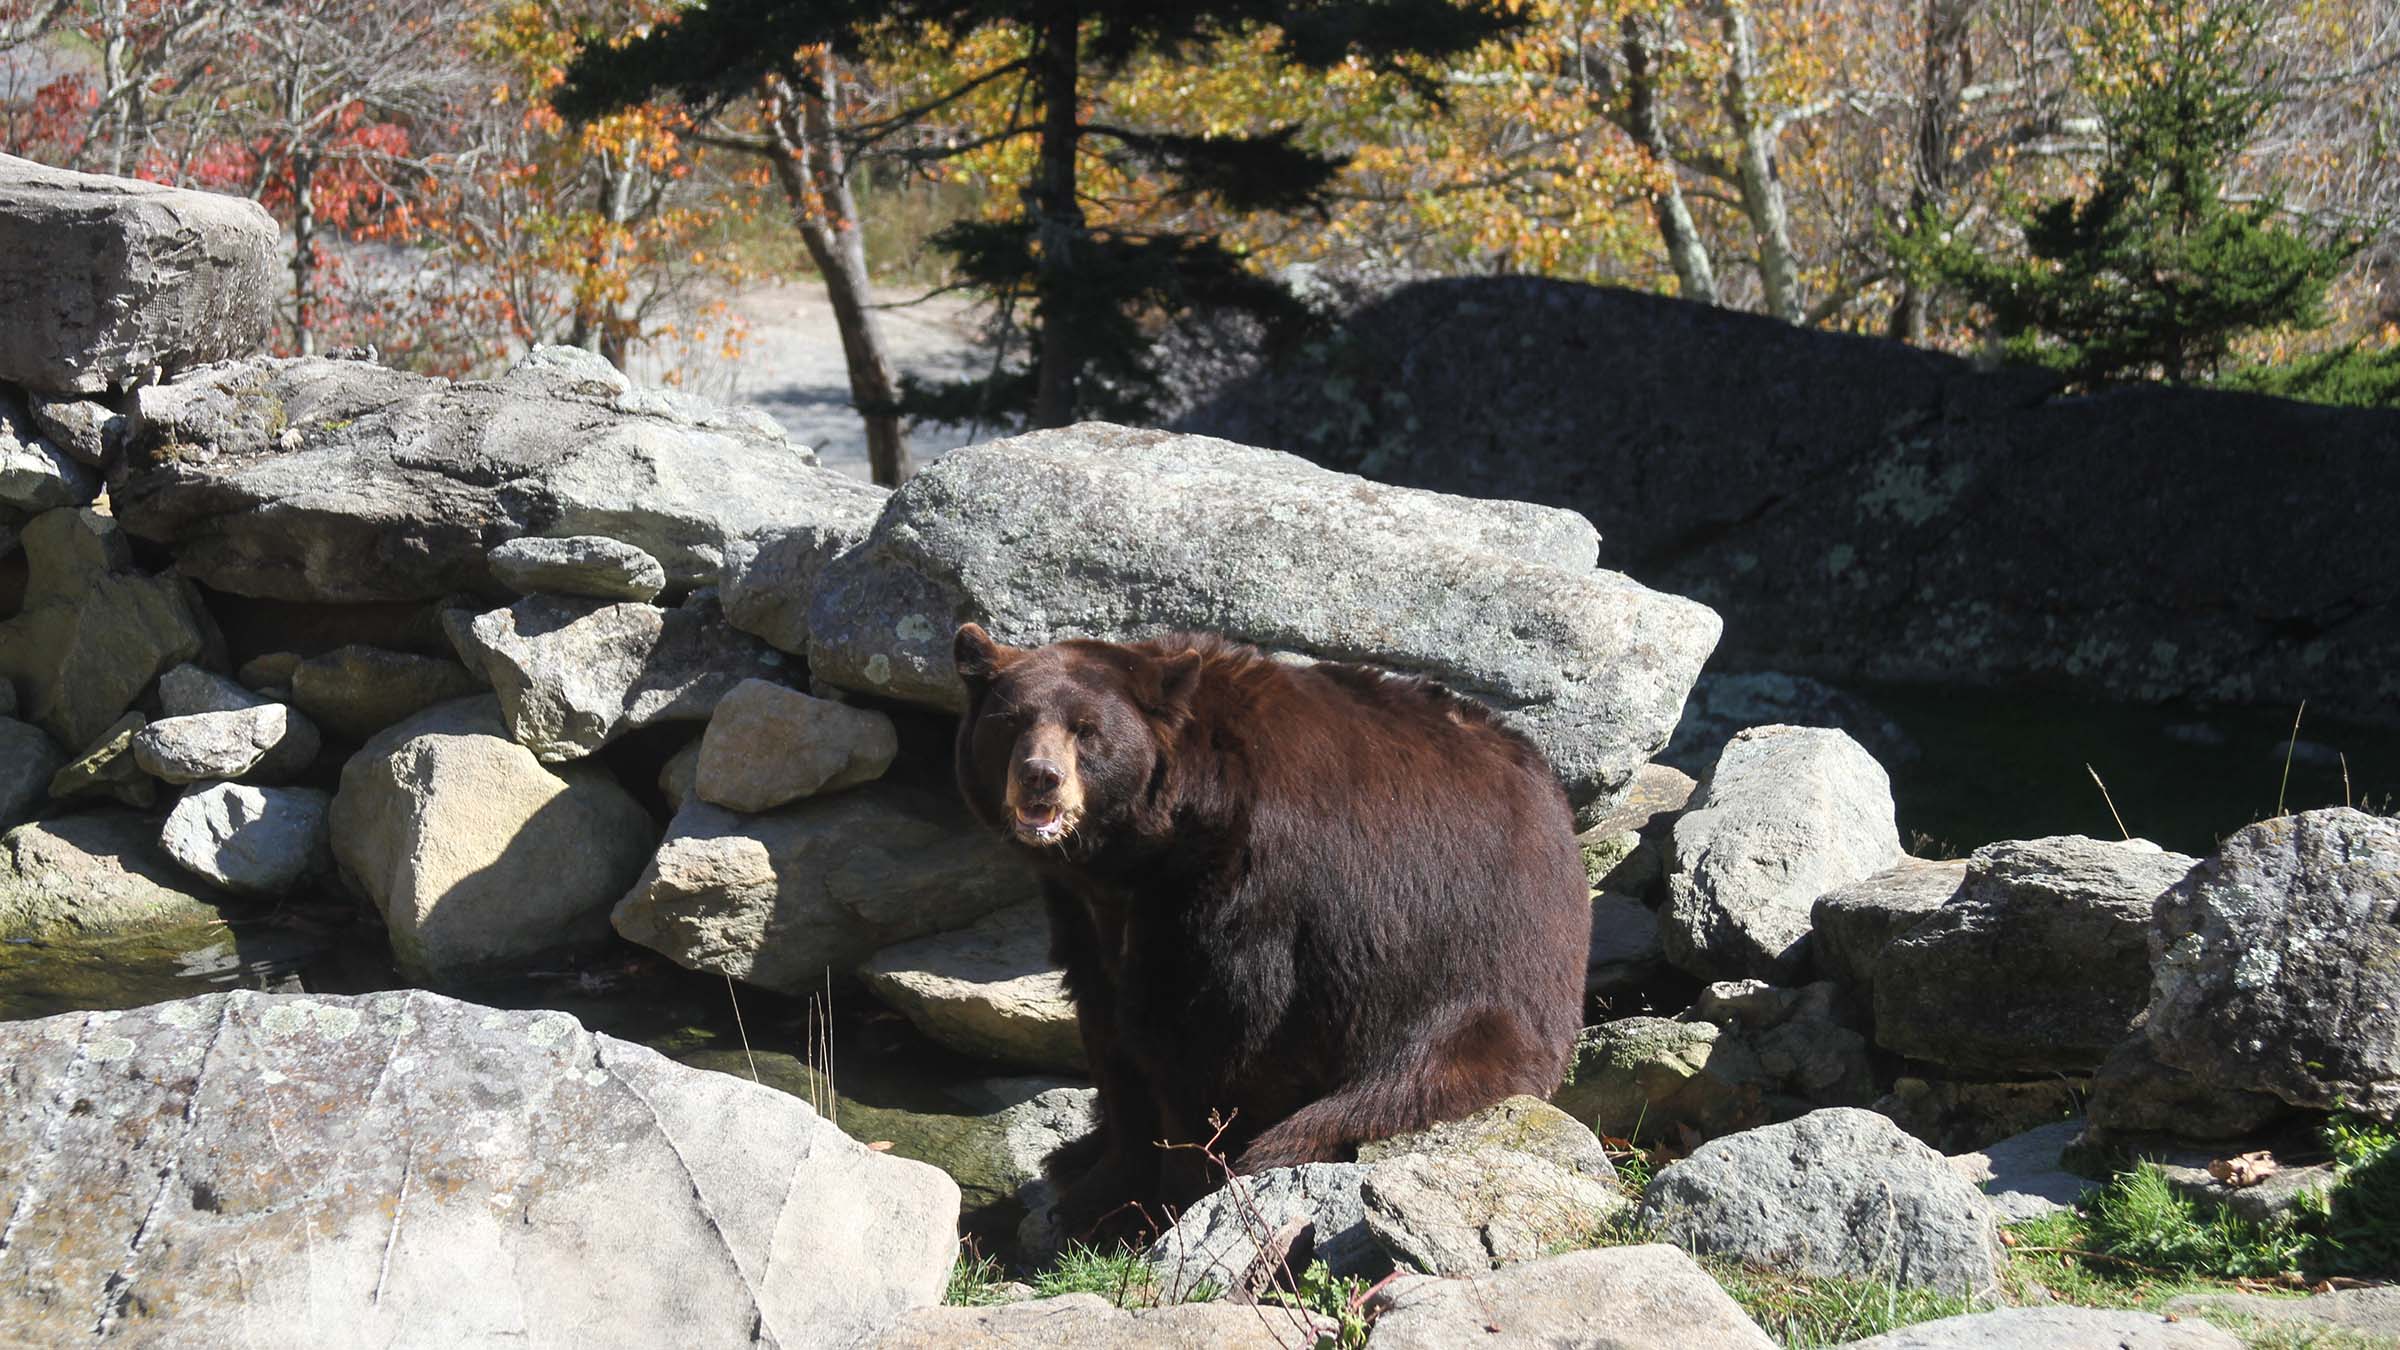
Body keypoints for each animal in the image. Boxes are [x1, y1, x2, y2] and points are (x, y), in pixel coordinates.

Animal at [951, 622, 1589, 1245]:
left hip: (1464, 981)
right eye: (1010, 722)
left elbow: (1215, 1032)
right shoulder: (1087, 909)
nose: (1041, 778)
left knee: (1396, 1088)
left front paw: (1166, 1198)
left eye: (1087, 730)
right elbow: (1109, 1029)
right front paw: (1097, 1192)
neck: (1156, 844)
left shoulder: (1254, 885)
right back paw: (1073, 1154)